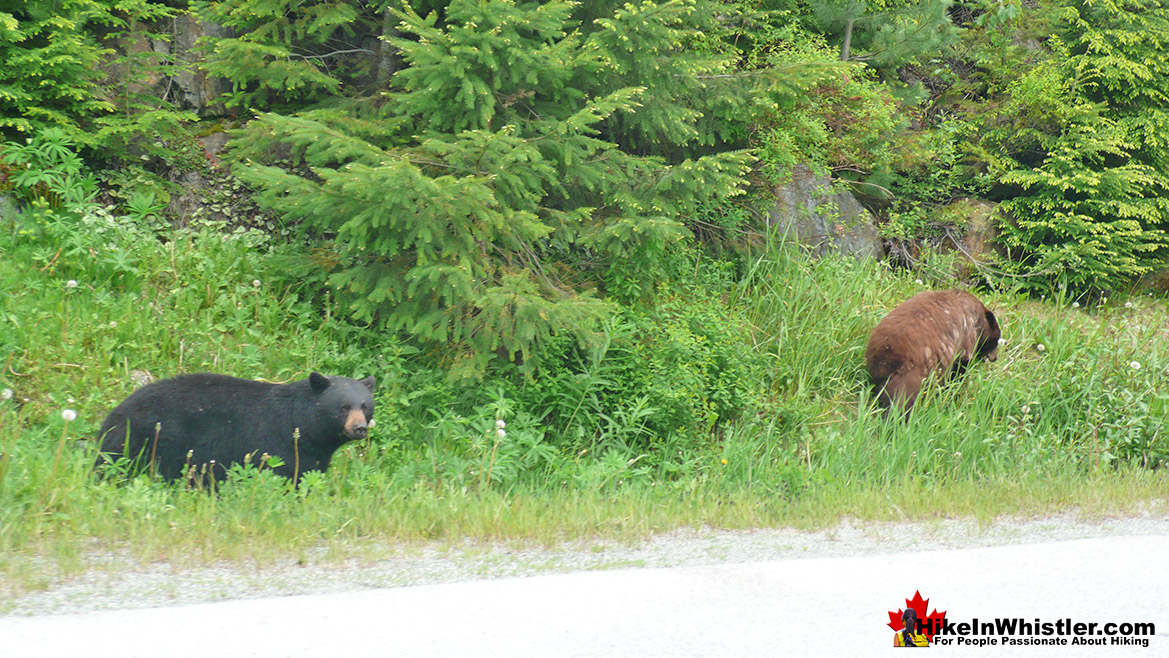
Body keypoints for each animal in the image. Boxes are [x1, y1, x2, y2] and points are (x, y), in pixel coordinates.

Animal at [100, 371, 376, 483]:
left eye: (364, 406)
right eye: (343, 407)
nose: (360, 427)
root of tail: (113, 416)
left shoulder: (313, 455)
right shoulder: (279, 445)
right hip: (143, 443)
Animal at [865, 291, 1000, 413]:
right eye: (996, 341)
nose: (995, 358)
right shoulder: (967, 336)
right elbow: (960, 367)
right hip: (911, 372)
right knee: (903, 399)